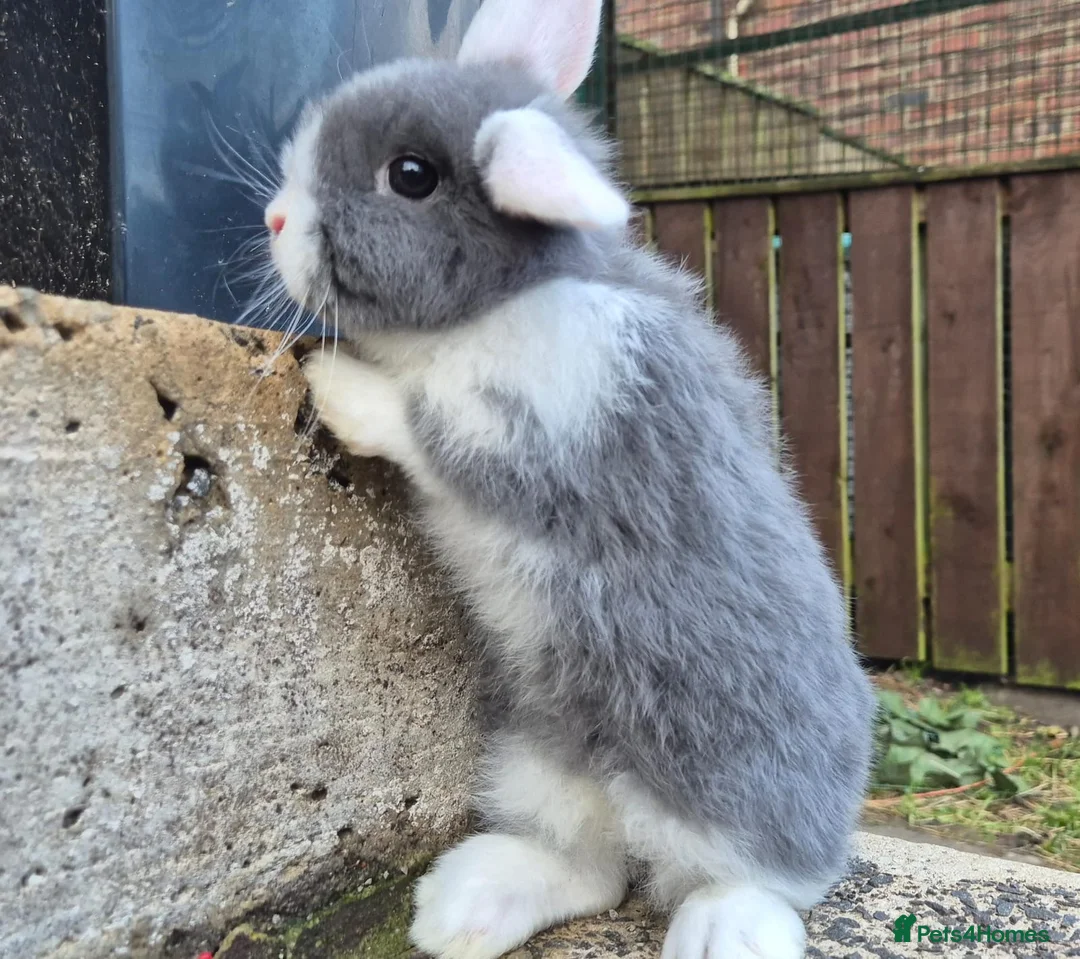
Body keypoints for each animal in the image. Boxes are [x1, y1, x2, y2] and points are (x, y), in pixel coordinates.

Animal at [260, 1, 877, 957]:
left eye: (410, 175)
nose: (276, 221)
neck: (504, 300)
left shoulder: (543, 433)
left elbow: (428, 425)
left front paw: (335, 384)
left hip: (735, 781)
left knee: (756, 877)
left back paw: (721, 930)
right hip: (540, 753)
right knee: (590, 865)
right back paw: (462, 908)